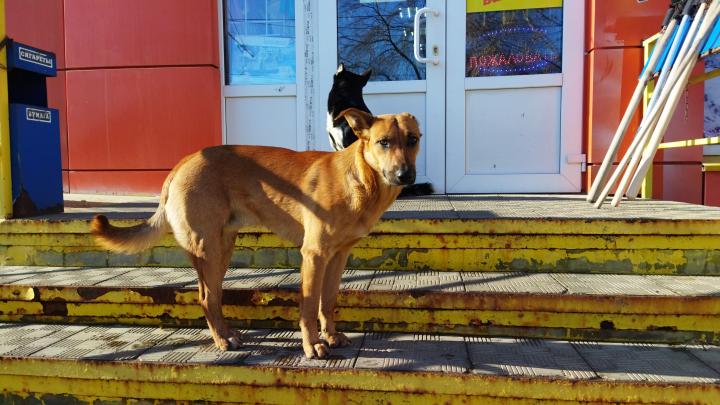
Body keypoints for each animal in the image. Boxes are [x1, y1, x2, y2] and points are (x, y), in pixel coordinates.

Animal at [90, 108, 422, 356]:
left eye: (413, 139)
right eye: (383, 142)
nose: (405, 175)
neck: (360, 178)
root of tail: (184, 161)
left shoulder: (338, 256)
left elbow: (327, 301)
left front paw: (331, 336)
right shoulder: (314, 255)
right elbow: (309, 303)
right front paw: (312, 345)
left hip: (222, 250)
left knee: (212, 295)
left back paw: (227, 334)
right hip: (208, 249)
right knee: (206, 298)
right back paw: (222, 341)